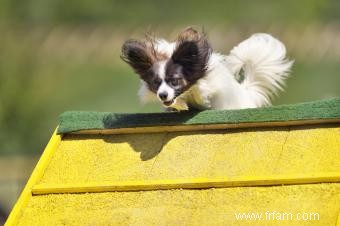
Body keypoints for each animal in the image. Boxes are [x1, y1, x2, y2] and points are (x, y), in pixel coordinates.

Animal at [121, 27, 294, 111]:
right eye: (156, 83)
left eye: (175, 81)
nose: (162, 95)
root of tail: (247, 93)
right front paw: (179, 105)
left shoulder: (211, 82)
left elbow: (203, 89)